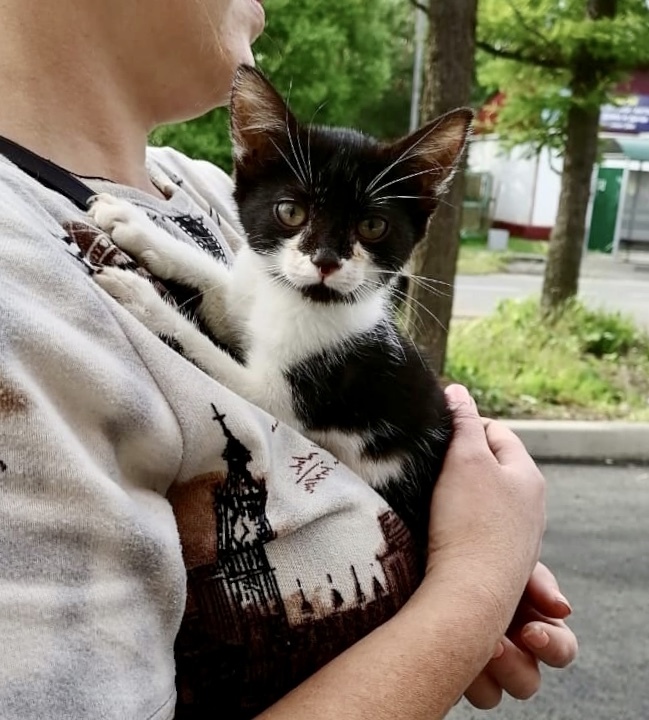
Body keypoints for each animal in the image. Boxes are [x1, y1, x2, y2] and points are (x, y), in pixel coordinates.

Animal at [90, 63, 470, 556]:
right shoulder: (255, 294)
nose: (326, 260)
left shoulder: (297, 396)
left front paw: (142, 298)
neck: (299, 299)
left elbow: (213, 358)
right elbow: (222, 289)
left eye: (373, 226)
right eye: (290, 211)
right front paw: (132, 223)